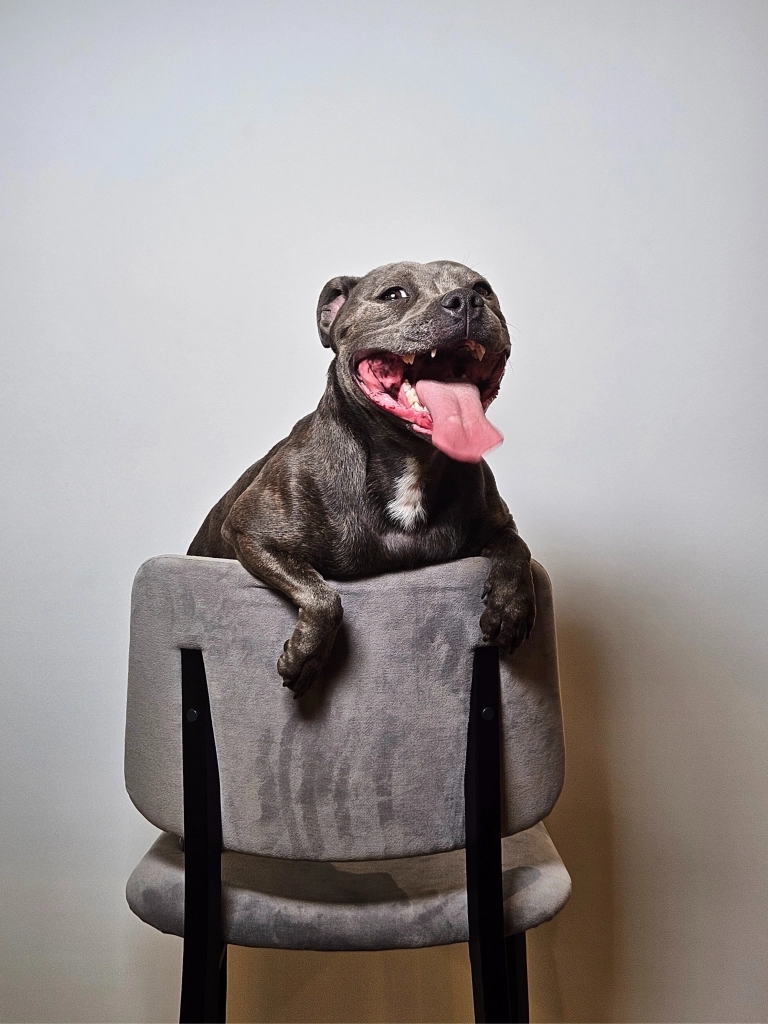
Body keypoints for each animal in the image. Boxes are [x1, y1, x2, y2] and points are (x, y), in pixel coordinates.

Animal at [188, 260, 535, 696]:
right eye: (394, 294)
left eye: (483, 289)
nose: (466, 301)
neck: (412, 459)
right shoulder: (251, 531)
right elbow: (324, 596)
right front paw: (306, 656)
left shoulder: (497, 524)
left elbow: (518, 549)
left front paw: (510, 607)